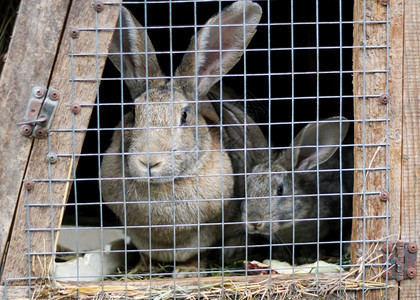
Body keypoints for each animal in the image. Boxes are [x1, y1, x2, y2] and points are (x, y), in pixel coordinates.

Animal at [100, 0, 262, 272]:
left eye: (184, 115)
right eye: (134, 112)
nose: (149, 161)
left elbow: (199, 253)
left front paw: (187, 271)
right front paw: (142, 268)